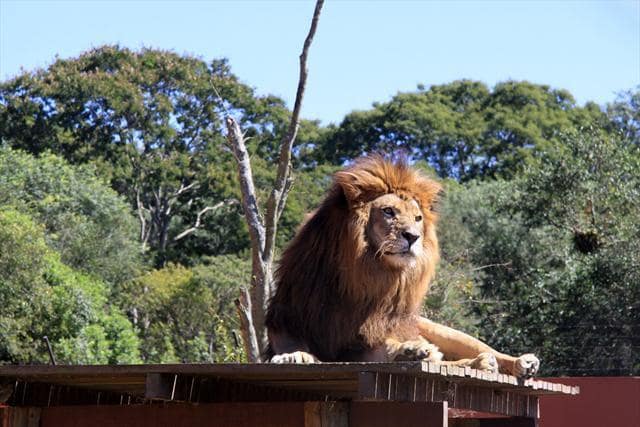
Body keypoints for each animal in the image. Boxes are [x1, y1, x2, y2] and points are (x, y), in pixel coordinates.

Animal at [264, 155, 540, 378]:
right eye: (388, 211)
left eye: (417, 218)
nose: (413, 236)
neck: (364, 275)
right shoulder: (287, 317)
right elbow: (291, 345)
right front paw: (293, 355)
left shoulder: (370, 334)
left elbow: (387, 348)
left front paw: (411, 350)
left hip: (442, 330)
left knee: (479, 350)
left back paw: (519, 363)